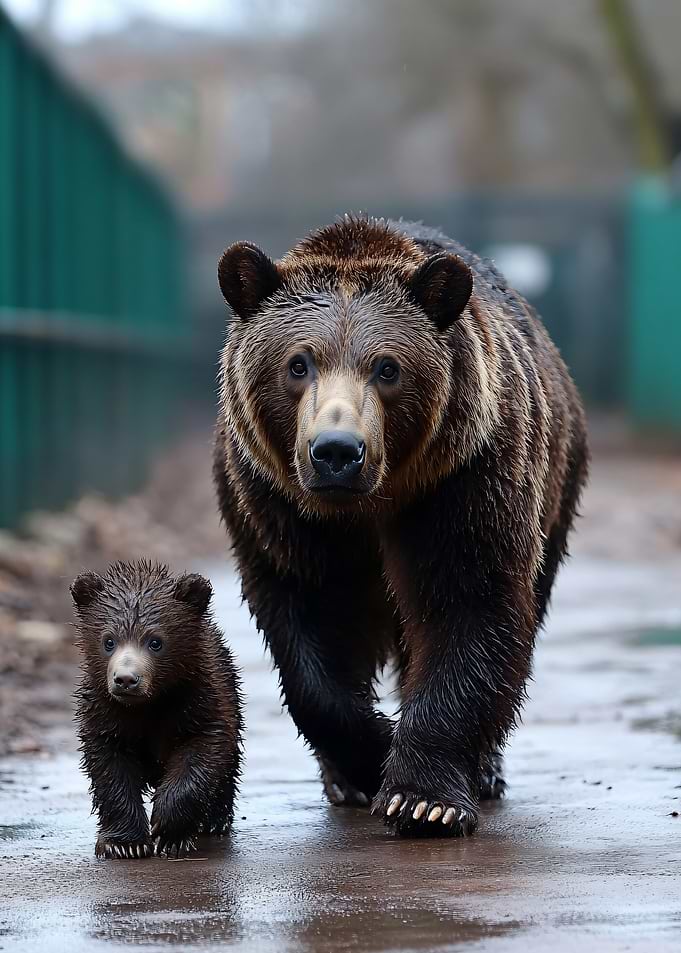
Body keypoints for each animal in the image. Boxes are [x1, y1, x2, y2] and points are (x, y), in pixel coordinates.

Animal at [72, 560, 243, 858]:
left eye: (155, 642)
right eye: (108, 641)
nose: (126, 679)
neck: (149, 704)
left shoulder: (199, 703)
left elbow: (201, 754)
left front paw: (169, 831)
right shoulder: (105, 714)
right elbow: (109, 769)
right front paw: (124, 844)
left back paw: (214, 821)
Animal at [213, 215, 588, 837]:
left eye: (387, 367)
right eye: (298, 363)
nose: (337, 452)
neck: (370, 504)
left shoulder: (463, 481)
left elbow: (468, 607)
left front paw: (424, 798)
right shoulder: (278, 506)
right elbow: (310, 628)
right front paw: (370, 757)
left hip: (556, 486)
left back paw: (485, 768)